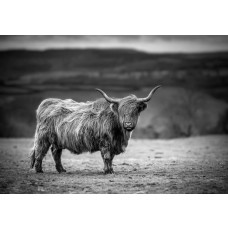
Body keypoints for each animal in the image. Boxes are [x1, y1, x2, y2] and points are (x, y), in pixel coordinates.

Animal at [30, 86, 161, 174]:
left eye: (135, 110)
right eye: (121, 110)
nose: (128, 124)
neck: (120, 134)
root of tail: (48, 102)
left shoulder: (113, 144)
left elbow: (111, 157)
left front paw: (110, 169)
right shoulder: (105, 142)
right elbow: (106, 156)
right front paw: (108, 171)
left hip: (58, 139)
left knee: (55, 152)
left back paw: (61, 170)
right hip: (43, 137)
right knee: (40, 151)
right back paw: (39, 170)